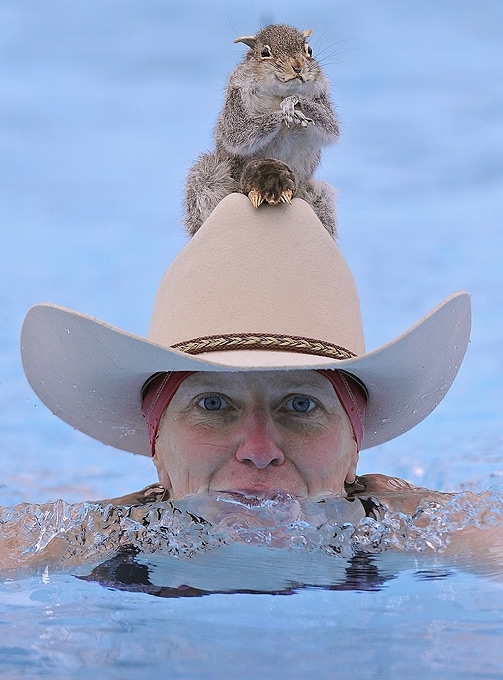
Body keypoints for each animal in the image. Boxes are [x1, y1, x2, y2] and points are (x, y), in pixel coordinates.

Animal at [185, 25, 342, 238]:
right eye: (265, 53)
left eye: (309, 51)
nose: (298, 67)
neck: (278, 93)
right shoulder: (236, 98)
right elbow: (236, 135)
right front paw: (281, 113)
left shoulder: (321, 97)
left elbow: (330, 128)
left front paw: (294, 101)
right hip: (207, 179)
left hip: (317, 197)